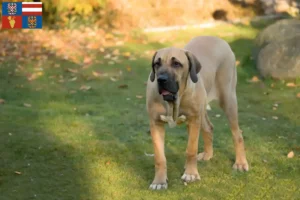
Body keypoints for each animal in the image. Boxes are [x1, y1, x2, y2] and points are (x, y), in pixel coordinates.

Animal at [145, 36, 248, 191]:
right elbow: (159, 157)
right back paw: (208, 154)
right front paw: (159, 181)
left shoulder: (193, 120)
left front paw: (191, 174)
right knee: (209, 128)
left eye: (176, 64)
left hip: (228, 99)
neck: (174, 101)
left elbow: (191, 150)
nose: (161, 79)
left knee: (237, 134)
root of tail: (218, 38)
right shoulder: (155, 123)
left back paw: (241, 162)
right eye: (157, 64)